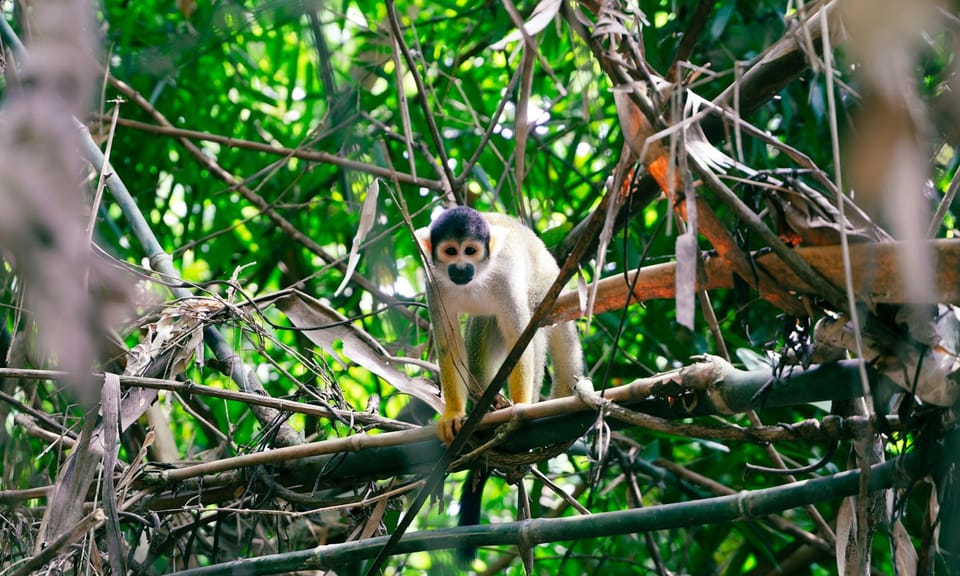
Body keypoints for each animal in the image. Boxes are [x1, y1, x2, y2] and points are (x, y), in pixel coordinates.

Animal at [414, 207, 584, 446]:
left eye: (470, 250)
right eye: (450, 251)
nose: (461, 267)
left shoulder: (506, 277)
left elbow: (519, 339)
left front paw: (520, 407)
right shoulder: (434, 282)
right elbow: (448, 344)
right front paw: (453, 413)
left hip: (544, 288)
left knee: (532, 324)